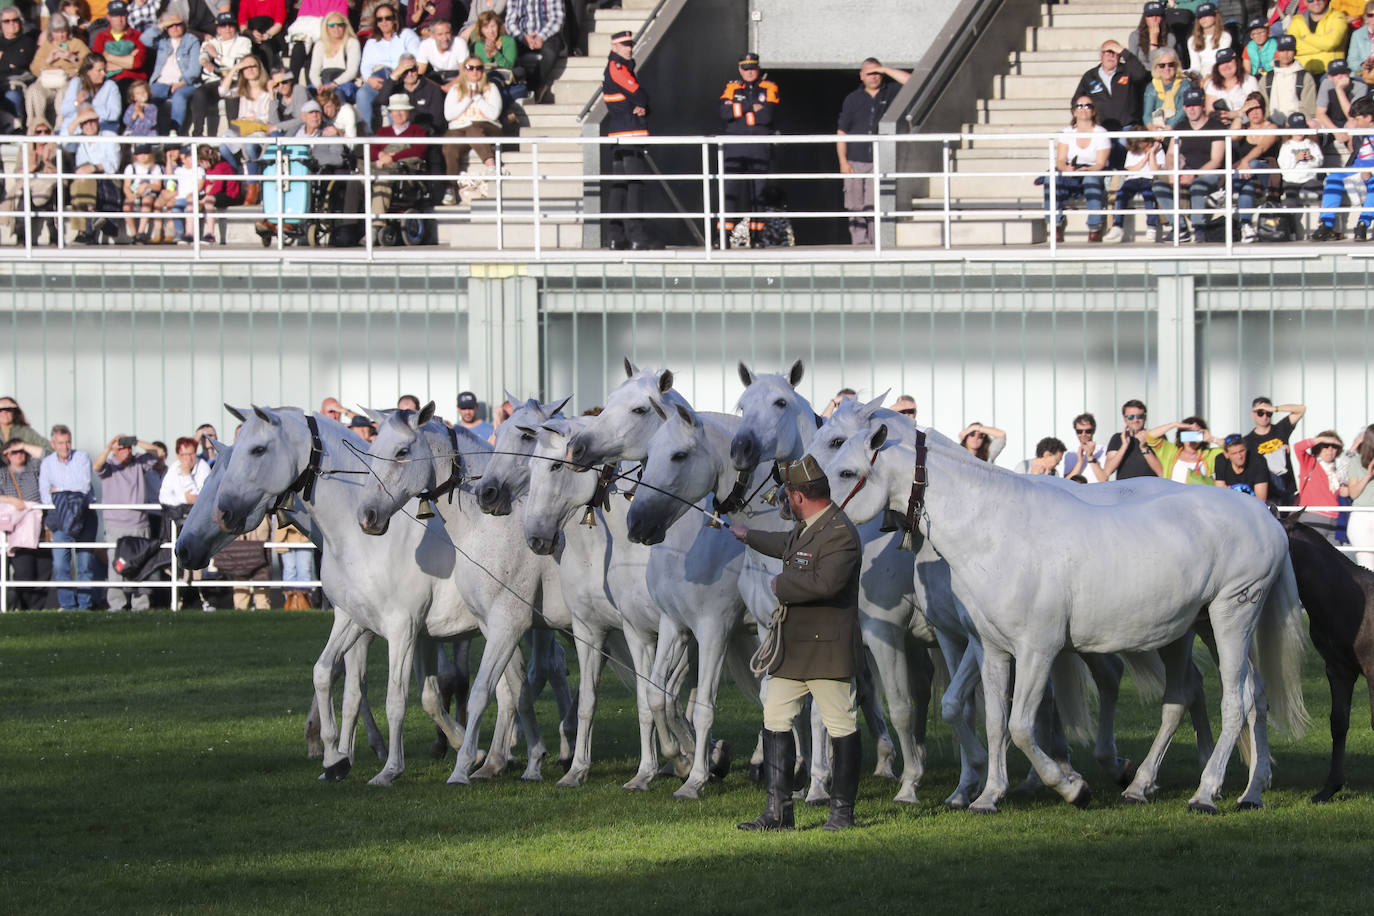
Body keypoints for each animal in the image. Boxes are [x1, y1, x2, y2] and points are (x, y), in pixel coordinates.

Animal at [818, 425, 1302, 813]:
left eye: (846, 471)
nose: (807, 513)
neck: (996, 533)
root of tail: (1263, 516)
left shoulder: (1038, 649)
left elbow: (1020, 725)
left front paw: (1072, 787)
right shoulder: (991, 650)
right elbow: (994, 720)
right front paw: (988, 795)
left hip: (1233, 613)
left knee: (1235, 701)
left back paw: (1205, 792)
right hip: (1196, 627)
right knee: (1236, 696)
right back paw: (1233, 789)